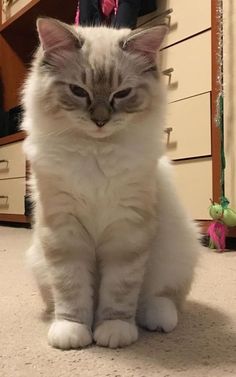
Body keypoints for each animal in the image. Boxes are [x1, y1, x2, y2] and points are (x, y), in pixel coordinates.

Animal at [21, 16, 200, 346]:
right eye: (78, 91)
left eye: (122, 94)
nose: (100, 121)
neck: (96, 151)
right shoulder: (65, 231)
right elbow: (71, 290)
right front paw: (73, 332)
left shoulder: (127, 231)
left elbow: (118, 293)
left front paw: (113, 332)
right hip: (38, 259)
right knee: (54, 298)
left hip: (177, 251)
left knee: (160, 297)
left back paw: (158, 320)